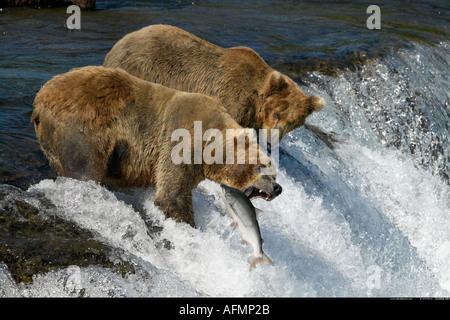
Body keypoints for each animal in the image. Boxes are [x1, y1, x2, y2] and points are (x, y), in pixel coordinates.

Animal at [32, 66, 282, 229]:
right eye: (264, 168)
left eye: (274, 173)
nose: (278, 188)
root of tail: (39, 99)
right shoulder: (182, 139)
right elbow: (172, 194)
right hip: (82, 129)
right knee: (84, 170)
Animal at [103, 24, 326, 146]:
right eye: (277, 113)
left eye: (293, 123)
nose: (271, 142)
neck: (254, 102)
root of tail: (120, 42)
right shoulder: (231, 96)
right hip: (143, 68)